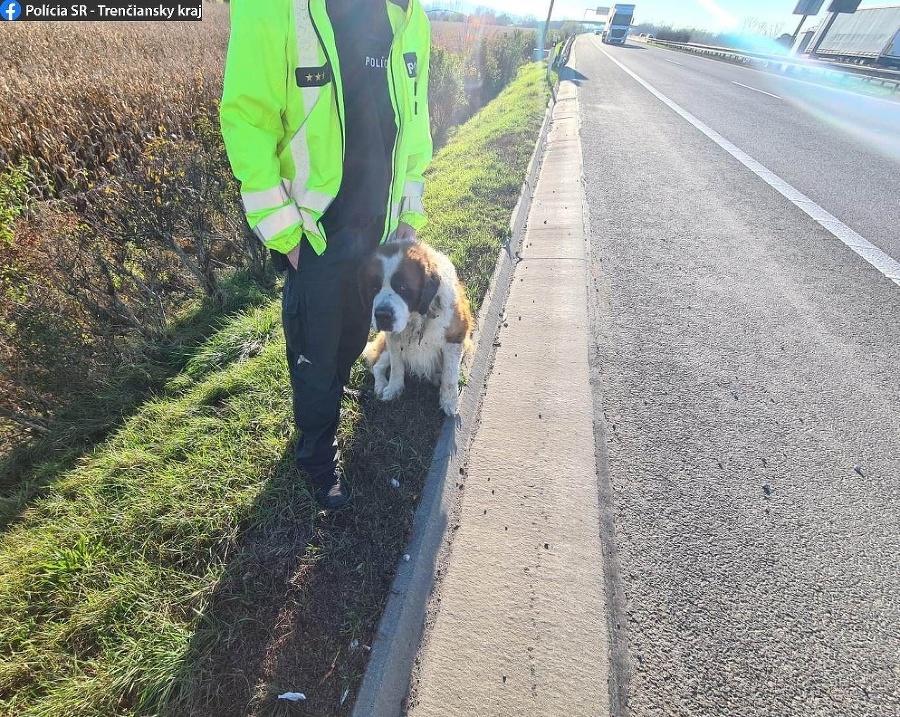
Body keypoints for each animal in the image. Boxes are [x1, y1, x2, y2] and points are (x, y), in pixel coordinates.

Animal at [360, 239, 474, 414]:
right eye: (374, 288)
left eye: (403, 287)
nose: (382, 315)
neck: (418, 317)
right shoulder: (393, 339)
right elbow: (397, 366)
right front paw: (394, 389)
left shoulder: (454, 338)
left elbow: (450, 375)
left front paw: (449, 402)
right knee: (378, 365)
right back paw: (381, 385)